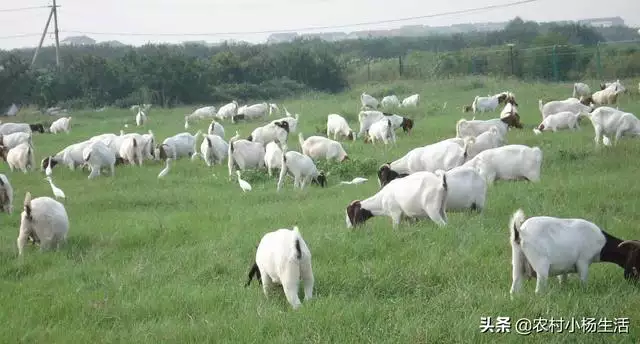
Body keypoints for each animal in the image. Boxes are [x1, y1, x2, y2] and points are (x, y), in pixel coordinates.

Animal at [508, 208, 640, 296]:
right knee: (539, 290)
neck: (601, 242)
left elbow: (563, 282)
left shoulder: (563, 269)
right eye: (636, 265)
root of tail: (520, 231)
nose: (635, 286)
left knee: (514, 288)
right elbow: (583, 282)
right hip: (541, 265)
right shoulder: (583, 262)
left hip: (517, 261)